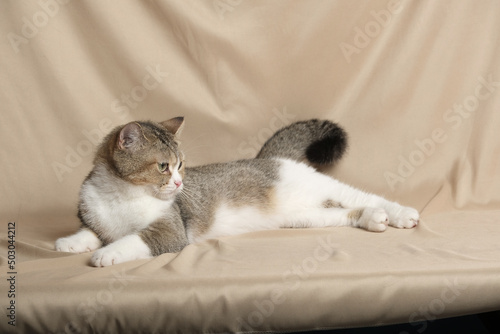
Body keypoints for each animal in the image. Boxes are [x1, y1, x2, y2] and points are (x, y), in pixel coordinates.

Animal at [54, 117, 418, 266]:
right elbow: (91, 232)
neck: (122, 195)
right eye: (163, 166)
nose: (179, 183)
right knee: (346, 212)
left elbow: (133, 239)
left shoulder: (169, 231)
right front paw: (70, 243)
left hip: (319, 186)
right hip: (303, 216)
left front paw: (107, 254)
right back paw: (374, 219)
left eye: (181, 165)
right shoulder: (95, 216)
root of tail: (269, 157)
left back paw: (401, 214)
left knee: (364, 197)